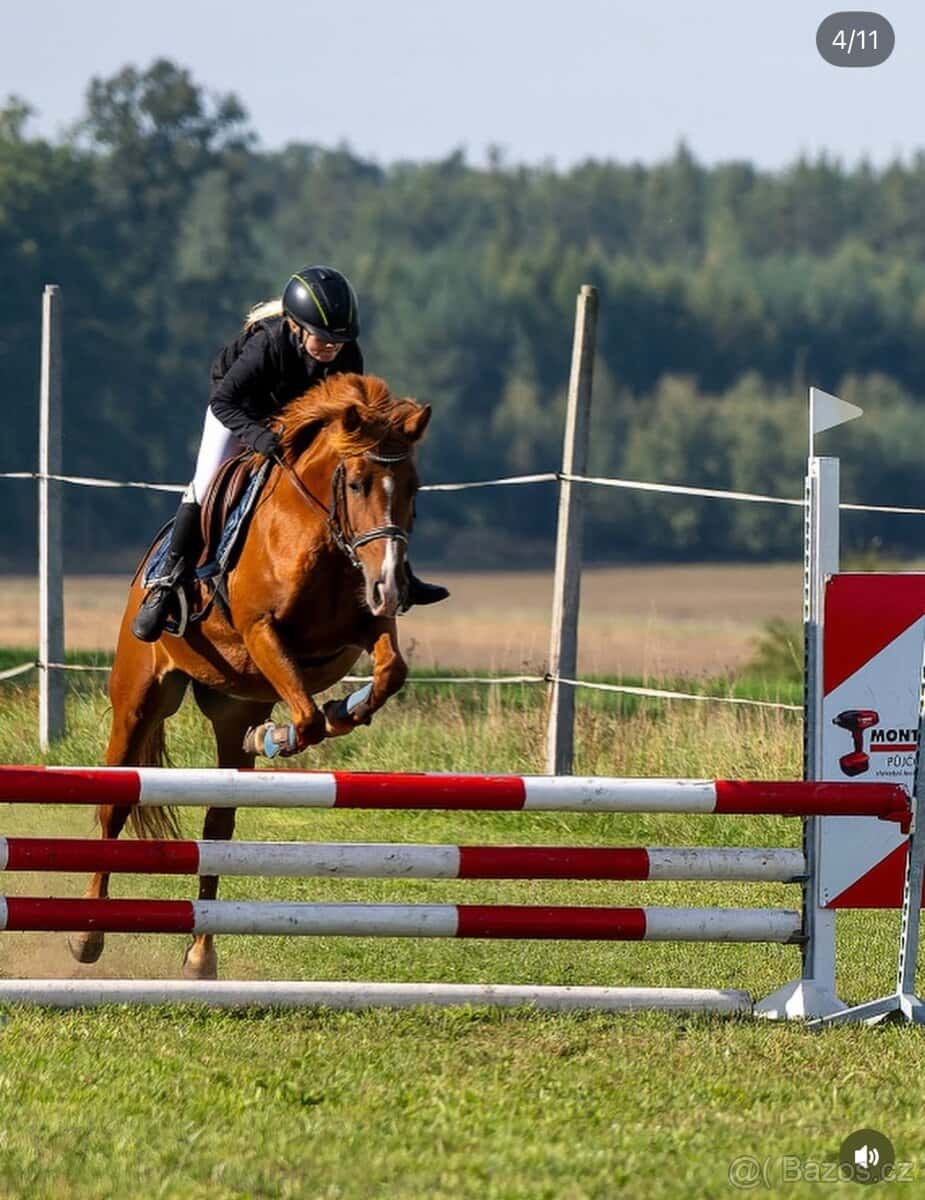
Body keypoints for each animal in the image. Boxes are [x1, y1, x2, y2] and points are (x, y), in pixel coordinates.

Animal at [69, 373, 431, 979]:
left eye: (414, 488)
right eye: (357, 484)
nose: (392, 586)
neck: (321, 533)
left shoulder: (364, 625)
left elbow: (388, 671)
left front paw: (346, 709)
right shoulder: (262, 630)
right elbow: (306, 717)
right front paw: (282, 735)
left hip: (232, 706)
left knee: (218, 827)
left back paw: (200, 953)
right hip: (140, 697)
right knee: (114, 806)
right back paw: (87, 935)